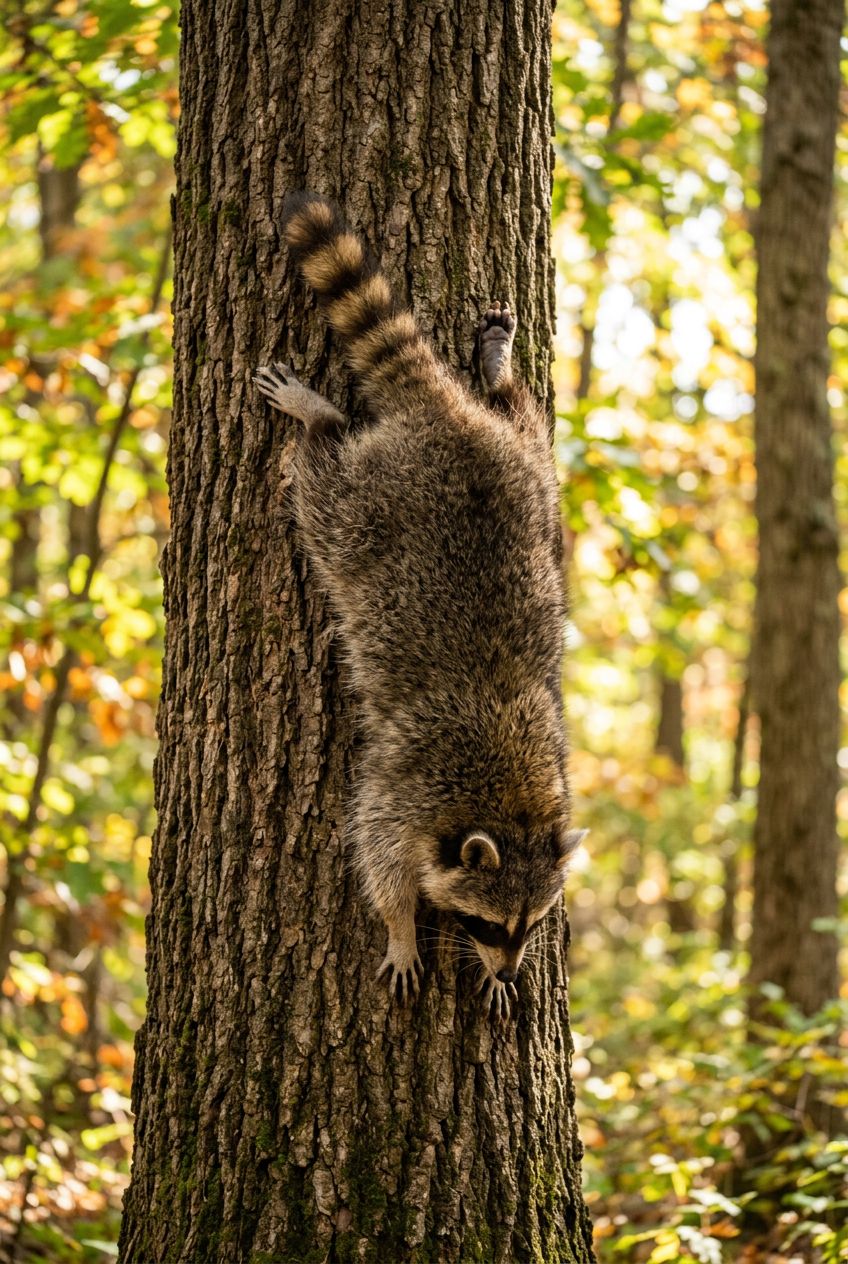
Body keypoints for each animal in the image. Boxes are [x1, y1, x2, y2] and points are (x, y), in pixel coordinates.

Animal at [255, 194, 585, 1021]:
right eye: (488, 923)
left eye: (532, 924)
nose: (510, 971)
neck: (512, 805)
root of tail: (447, 420)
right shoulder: (403, 794)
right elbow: (380, 862)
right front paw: (403, 928)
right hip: (371, 503)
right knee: (324, 483)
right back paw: (319, 417)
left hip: (529, 476)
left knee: (523, 418)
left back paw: (498, 374)